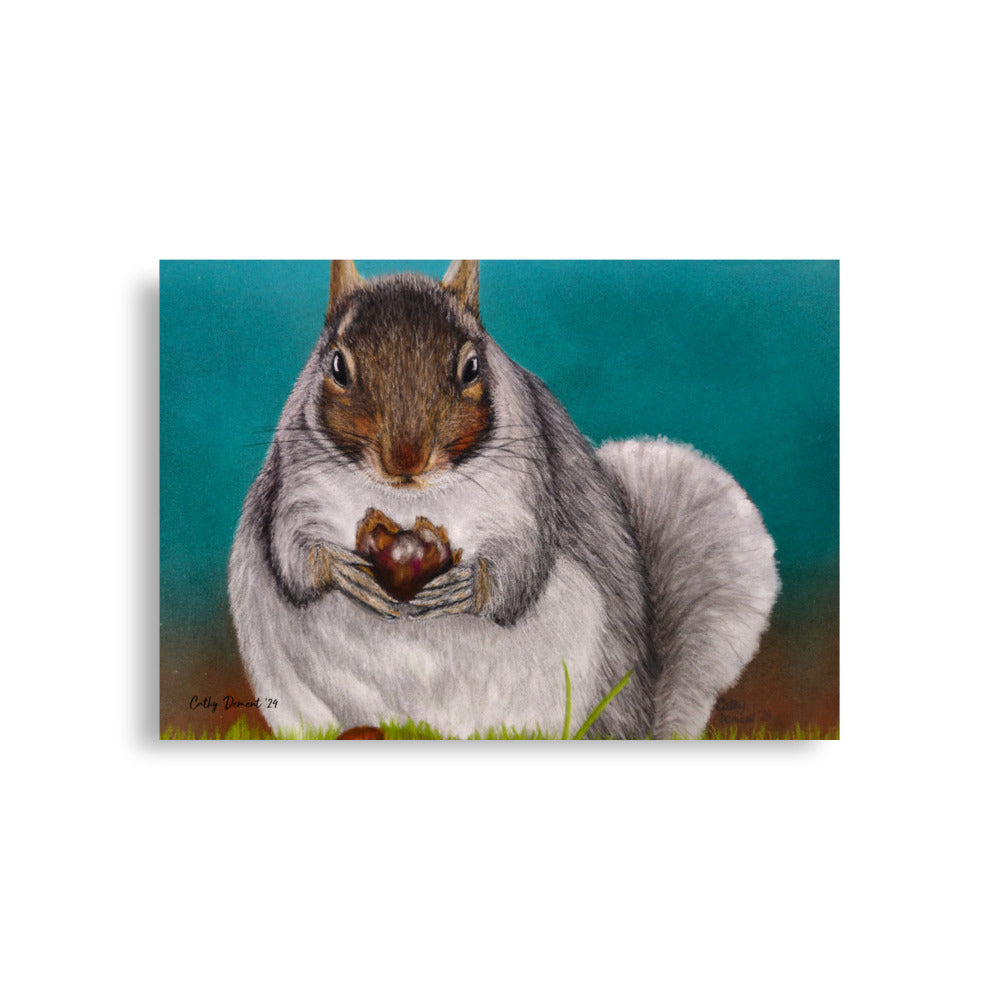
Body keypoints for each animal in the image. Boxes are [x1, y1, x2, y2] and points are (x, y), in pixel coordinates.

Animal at [227, 260, 779, 738]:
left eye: (472, 367)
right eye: (337, 366)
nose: (406, 459)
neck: (407, 499)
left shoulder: (528, 490)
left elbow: (523, 563)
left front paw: (466, 586)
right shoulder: (296, 485)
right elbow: (292, 554)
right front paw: (342, 570)